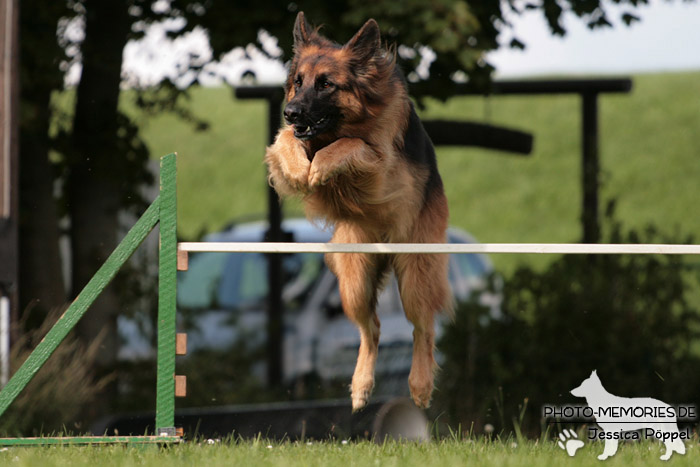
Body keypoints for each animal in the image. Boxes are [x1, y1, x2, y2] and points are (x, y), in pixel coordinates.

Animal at [266, 11, 452, 414]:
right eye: (298, 82)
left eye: (326, 84)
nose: (290, 112)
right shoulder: (291, 140)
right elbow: (285, 142)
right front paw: (300, 169)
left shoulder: (383, 172)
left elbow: (353, 145)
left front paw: (321, 165)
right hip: (354, 279)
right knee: (373, 329)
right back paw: (361, 386)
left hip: (414, 274)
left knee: (424, 328)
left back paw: (420, 386)